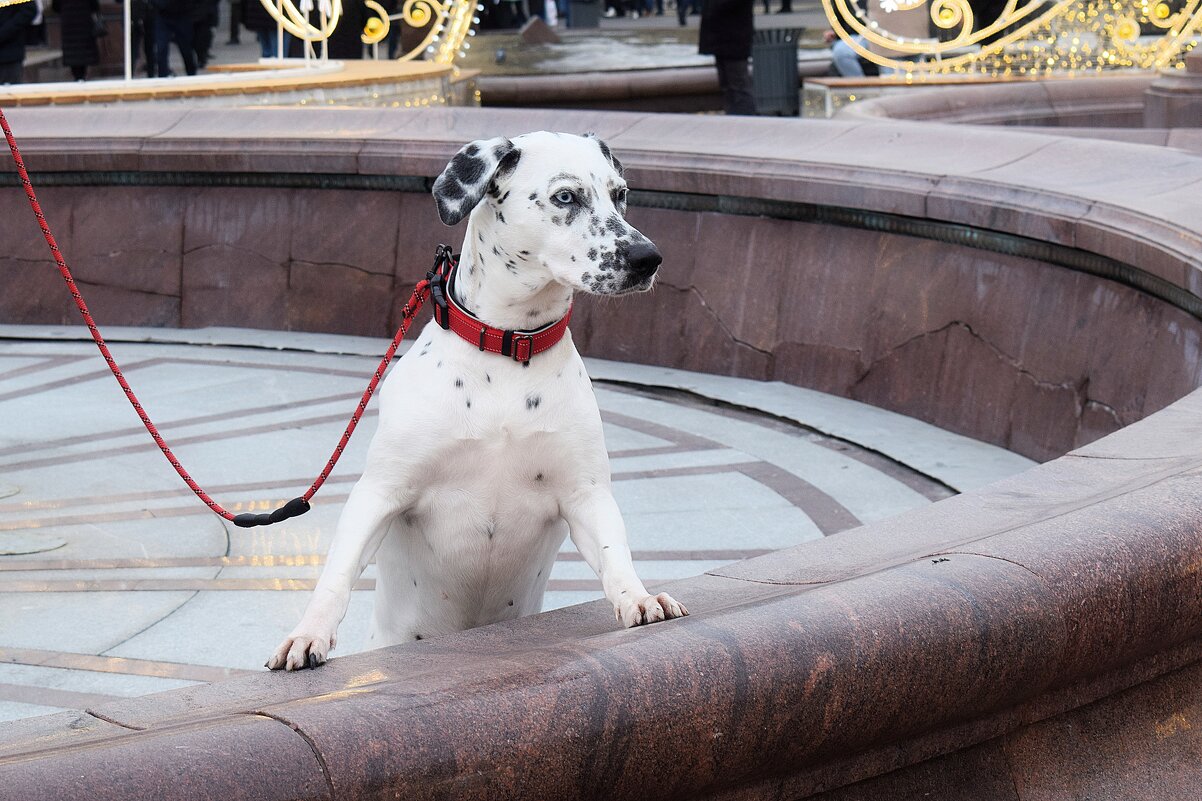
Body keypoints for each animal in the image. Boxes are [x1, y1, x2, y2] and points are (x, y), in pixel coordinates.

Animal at [269, 131, 692, 668]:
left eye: (620, 194)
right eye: (565, 197)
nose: (647, 257)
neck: (508, 348)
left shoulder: (586, 493)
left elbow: (614, 553)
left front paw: (637, 597)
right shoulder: (379, 492)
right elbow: (337, 574)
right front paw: (310, 633)